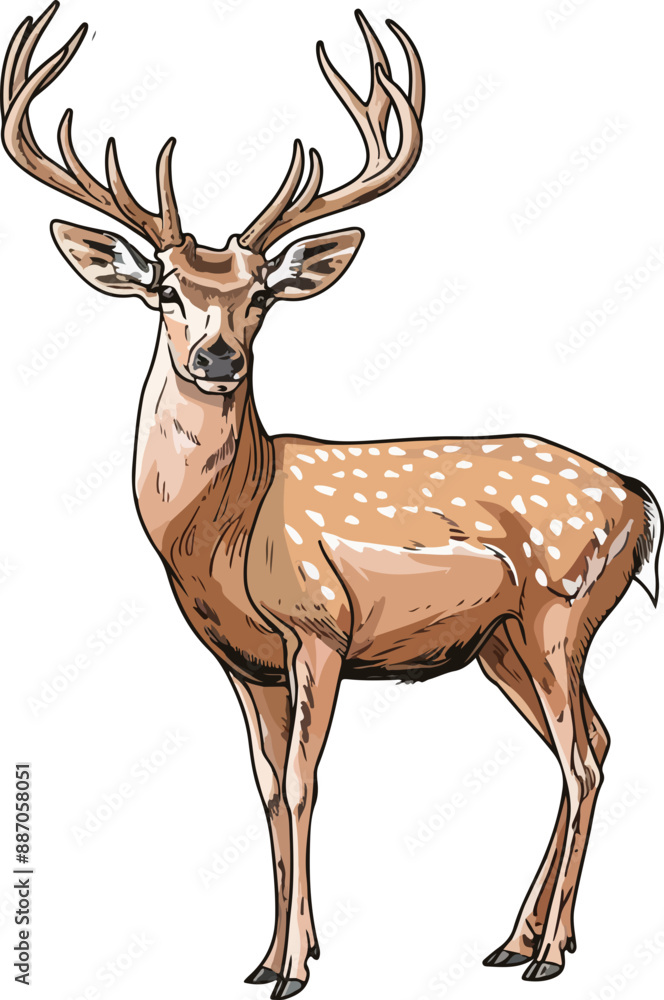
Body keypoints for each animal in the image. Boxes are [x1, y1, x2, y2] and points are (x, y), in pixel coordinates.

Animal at [3, 2, 661, 994]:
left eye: (263, 296)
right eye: (165, 290)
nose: (217, 356)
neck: (227, 534)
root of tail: (638, 497)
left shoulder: (318, 627)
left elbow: (307, 784)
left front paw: (295, 967)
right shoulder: (242, 661)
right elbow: (268, 789)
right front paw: (268, 955)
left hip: (562, 609)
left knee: (584, 758)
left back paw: (547, 953)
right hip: (503, 643)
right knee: (596, 741)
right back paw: (518, 938)